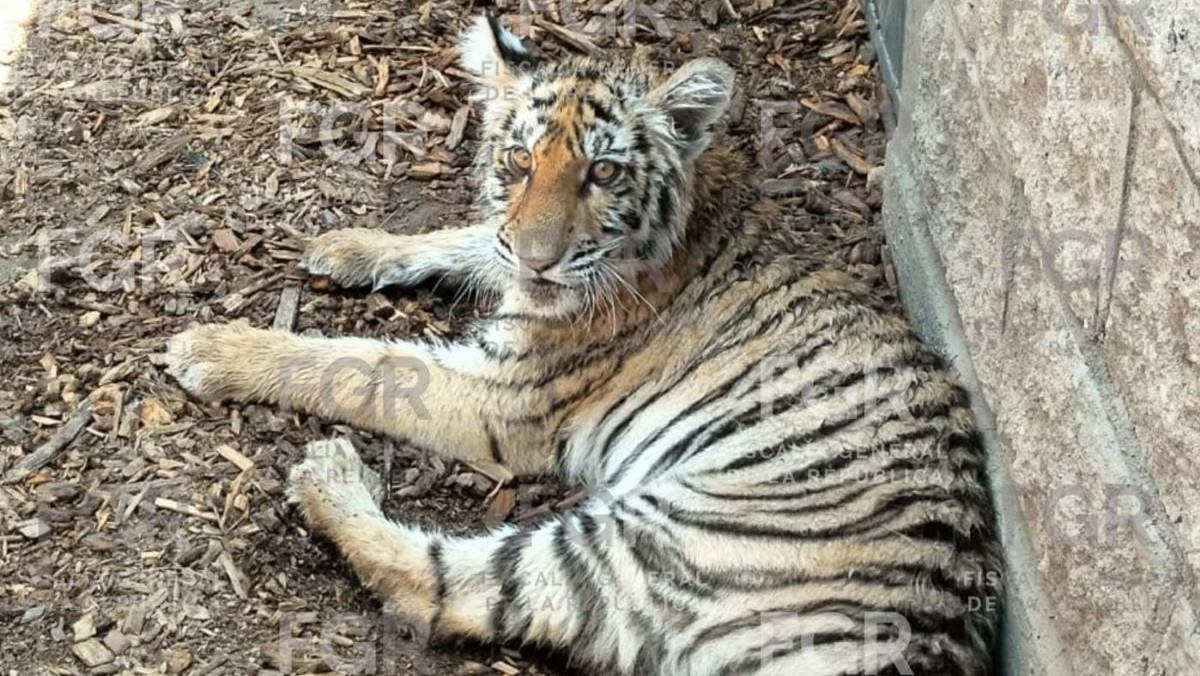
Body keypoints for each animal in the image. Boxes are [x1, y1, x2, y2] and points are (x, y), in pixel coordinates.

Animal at [163, 15, 1002, 676]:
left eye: (603, 171)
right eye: (518, 160)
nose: (540, 261)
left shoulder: (503, 395)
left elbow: (358, 364)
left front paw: (212, 348)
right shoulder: (507, 265)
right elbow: (470, 238)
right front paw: (348, 246)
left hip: (664, 541)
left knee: (447, 587)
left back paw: (327, 476)